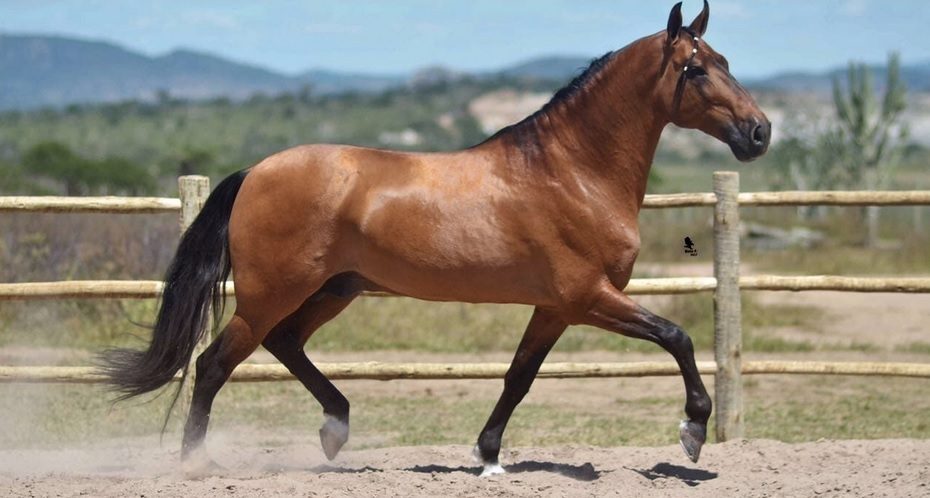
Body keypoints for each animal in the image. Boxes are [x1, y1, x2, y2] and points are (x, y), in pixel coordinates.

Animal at [99, 1, 768, 478]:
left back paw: (335, 430)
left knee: (284, 344)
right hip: (272, 293)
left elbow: (519, 377)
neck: (572, 171)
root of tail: (255, 172)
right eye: (695, 68)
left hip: (335, 289)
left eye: (726, 60)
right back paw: (196, 463)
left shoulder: (555, 307)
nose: (759, 132)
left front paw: (489, 455)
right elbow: (677, 336)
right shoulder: (588, 296)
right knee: (214, 364)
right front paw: (693, 433)